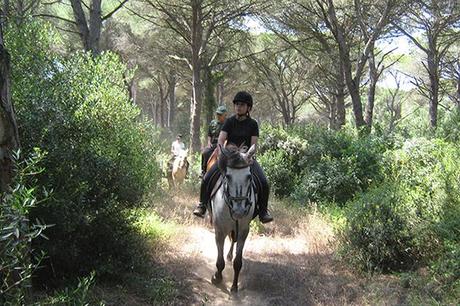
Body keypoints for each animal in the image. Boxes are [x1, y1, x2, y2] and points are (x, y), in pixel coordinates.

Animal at [210, 145, 256, 292]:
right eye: (228, 176)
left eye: (249, 177)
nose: (239, 211)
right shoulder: (219, 230)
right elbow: (220, 260)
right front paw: (217, 277)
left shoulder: (243, 231)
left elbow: (238, 262)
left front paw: (234, 286)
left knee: (233, 240)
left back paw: (230, 255)